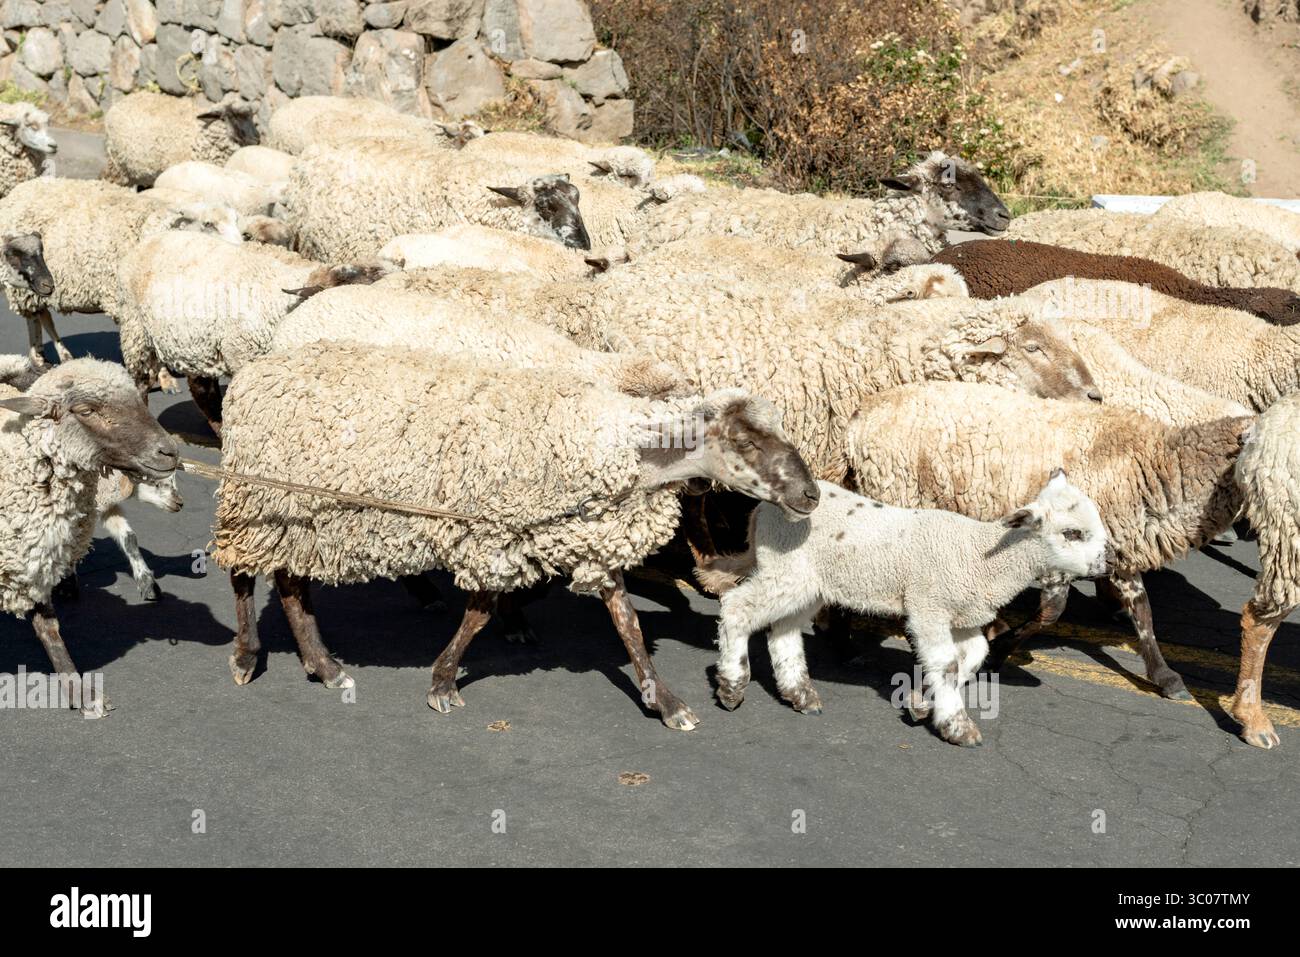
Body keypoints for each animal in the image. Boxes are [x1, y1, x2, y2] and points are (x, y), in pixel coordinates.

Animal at [0, 178, 242, 366]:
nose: (241, 247)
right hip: (26, 284)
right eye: (208, 224)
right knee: (35, 316)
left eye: (236, 220)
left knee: (41, 315)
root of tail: (16, 192)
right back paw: (42, 356)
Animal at [211, 342, 820, 729]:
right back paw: (246, 657)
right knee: (243, 576)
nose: (811, 495)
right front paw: (443, 684)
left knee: (291, 585)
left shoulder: (586, 535)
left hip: (295, 513)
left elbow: (625, 620)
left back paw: (325, 666)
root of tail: (251, 374)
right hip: (256, 499)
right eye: (745, 442)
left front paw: (665, 701)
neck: (622, 449)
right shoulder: (496, 532)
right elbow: (479, 613)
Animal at [702, 472, 1109, 745]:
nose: (1108, 564)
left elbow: (973, 656)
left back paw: (800, 694)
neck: (981, 556)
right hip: (787, 569)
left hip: (809, 582)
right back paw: (732, 687)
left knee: (784, 631)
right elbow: (947, 663)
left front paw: (921, 702)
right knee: (738, 606)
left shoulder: (961, 615)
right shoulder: (928, 605)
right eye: (1072, 533)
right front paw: (957, 726)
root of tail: (761, 511)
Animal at [845, 381, 1255, 701]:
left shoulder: (1119, 545)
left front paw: (1166, 677)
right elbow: (1053, 611)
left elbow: (1143, 612)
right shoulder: (1063, 547)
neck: (1155, 463)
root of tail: (861, 413)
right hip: (897, 493)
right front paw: (1001, 650)